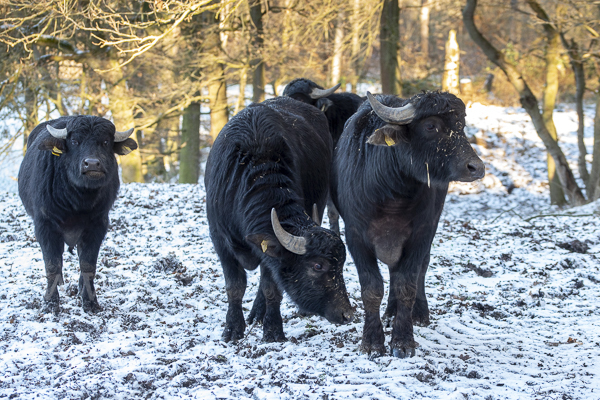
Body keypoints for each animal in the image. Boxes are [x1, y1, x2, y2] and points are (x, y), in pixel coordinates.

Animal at [18, 116, 138, 316]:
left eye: (105, 142)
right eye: (75, 141)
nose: (92, 164)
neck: (77, 201)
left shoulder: (97, 225)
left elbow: (88, 265)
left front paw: (90, 302)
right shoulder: (44, 225)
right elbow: (52, 265)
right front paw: (50, 303)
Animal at [206, 97, 356, 344]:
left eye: (342, 265)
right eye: (318, 265)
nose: (347, 314)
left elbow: (271, 287)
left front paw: (273, 329)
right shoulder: (220, 240)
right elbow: (234, 286)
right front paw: (232, 329)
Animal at [330, 91, 486, 360]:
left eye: (461, 126)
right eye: (431, 126)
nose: (476, 167)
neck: (392, 194)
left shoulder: (421, 234)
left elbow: (407, 285)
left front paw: (402, 340)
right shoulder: (355, 236)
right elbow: (371, 288)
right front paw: (372, 342)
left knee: (418, 268)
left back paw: (416, 313)